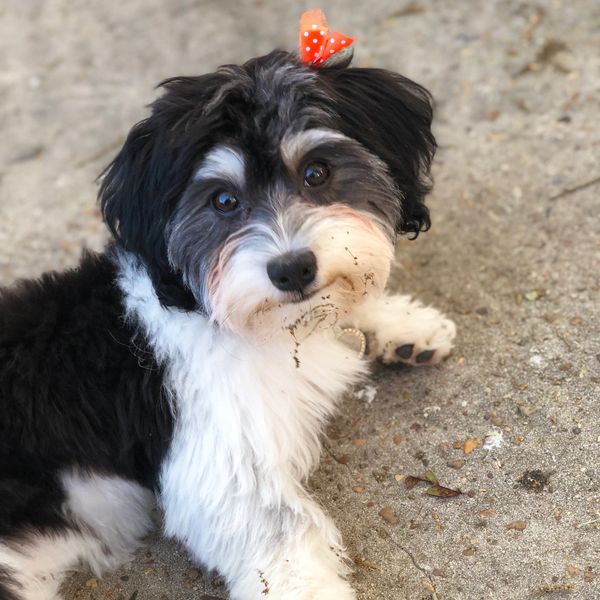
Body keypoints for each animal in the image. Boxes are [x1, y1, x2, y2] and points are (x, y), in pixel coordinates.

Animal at [0, 11, 454, 596]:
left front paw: (402, 325)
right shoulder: (220, 462)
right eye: (223, 201)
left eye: (317, 172)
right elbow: (283, 528)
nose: (292, 268)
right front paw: (310, 586)